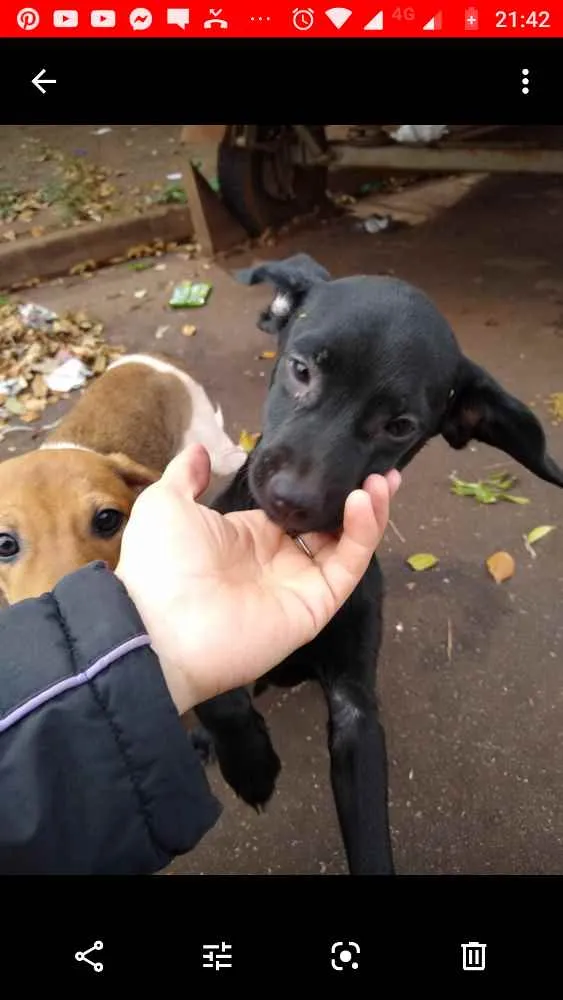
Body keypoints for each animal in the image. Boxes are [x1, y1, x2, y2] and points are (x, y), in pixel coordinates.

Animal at [195, 252, 563, 876]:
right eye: (300, 370)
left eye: (399, 427)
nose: (291, 499)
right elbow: (219, 691)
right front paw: (252, 766)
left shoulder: (355, 708)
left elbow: (369, 829)